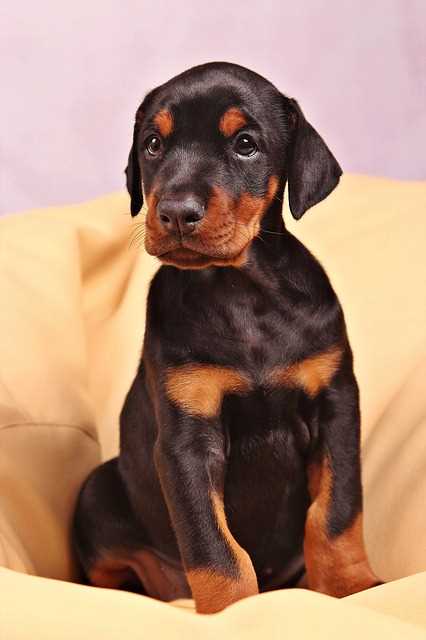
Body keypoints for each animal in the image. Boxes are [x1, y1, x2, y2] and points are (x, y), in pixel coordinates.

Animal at [71, 61, 382, 616]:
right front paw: (233, 613)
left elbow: (337, 513)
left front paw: (351, 587)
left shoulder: (337, 405)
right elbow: (214, 548)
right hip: (98, 488)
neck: (240, 291)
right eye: (153, 144)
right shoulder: (187, 437)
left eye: (245, 143)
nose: (175, 212)